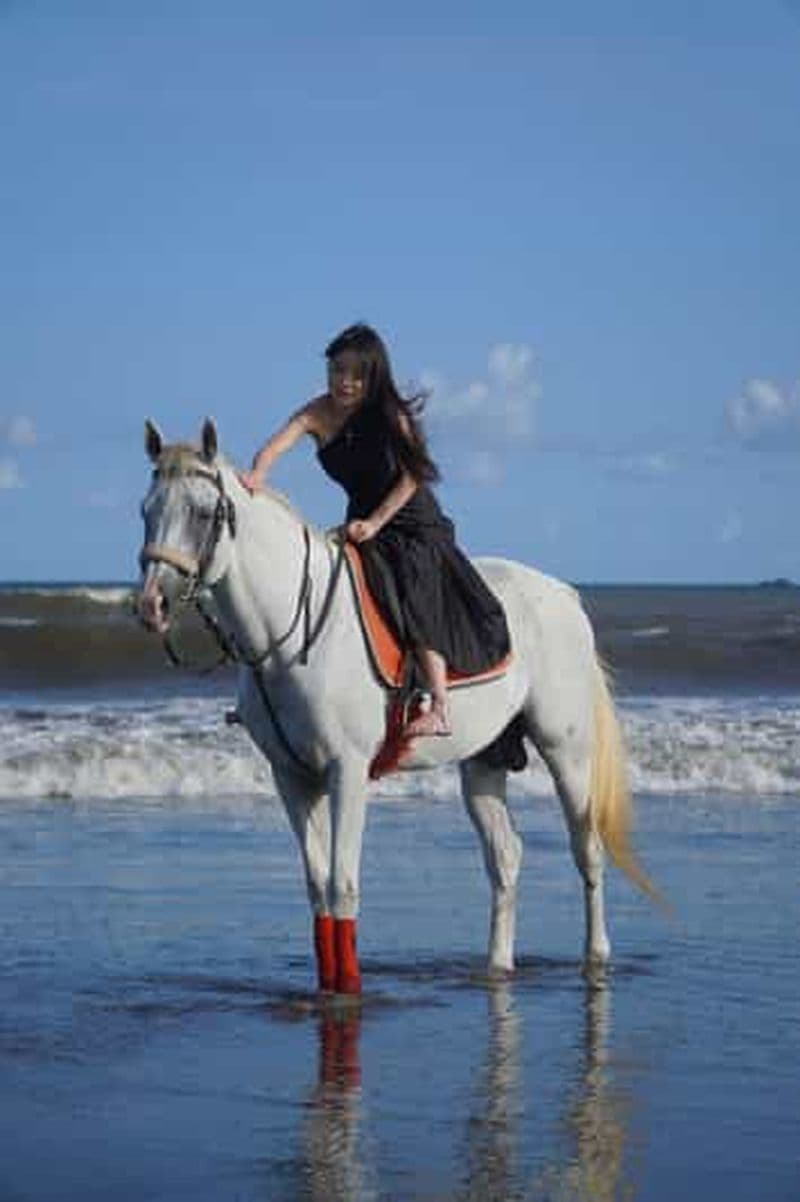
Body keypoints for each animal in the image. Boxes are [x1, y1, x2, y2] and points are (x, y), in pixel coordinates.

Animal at [138, 419, 653, 995]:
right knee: (505, 858)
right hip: (485, 760)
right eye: (146, 511)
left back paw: (596, 957)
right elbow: (317, 886)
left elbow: (342, 884)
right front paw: (330, 987)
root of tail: (564, 595)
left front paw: (349, 991)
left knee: (587, 849)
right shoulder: (291, 777)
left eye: (203, 513)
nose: (151, 604)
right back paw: (497, 966)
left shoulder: (347, 771)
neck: (293, 632)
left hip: (567, 751)